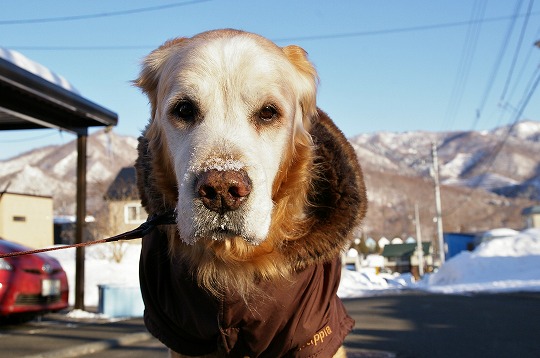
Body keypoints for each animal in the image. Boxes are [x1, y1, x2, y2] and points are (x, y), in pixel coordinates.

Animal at [136, 29, 368, 356]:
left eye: (268, 112)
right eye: (184, 109)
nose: (221, 189)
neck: (234, 260)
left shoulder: (312, 327)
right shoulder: (182, 333)